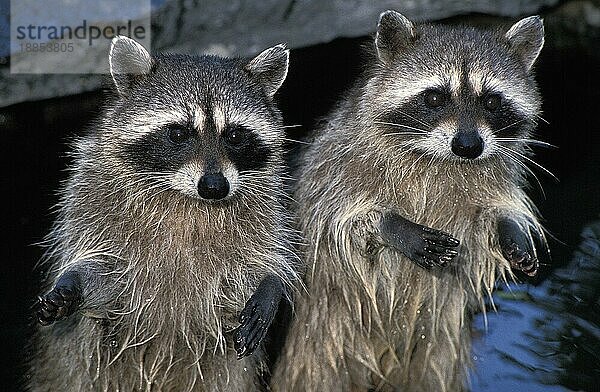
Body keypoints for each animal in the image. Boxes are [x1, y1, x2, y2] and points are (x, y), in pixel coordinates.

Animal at [28, 36, 300, 392]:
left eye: (235, 135)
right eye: (178, 133)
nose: (214, 187)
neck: (187, 199)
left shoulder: (268, 204)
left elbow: (267, 255)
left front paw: (271, 283)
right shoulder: (90, 192)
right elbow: (103, 270)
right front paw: (73, 282)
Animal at [272, 10, 548, 390]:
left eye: (492, 101)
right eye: (434, 98)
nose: (468, 145)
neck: (441, 160)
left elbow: (492, 210)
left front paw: (509, 228)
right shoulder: (337, 162)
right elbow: (334, 219)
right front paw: (389, 226)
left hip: (437, 347)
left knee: (434, 372)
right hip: (319, 341)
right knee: (313, 373)